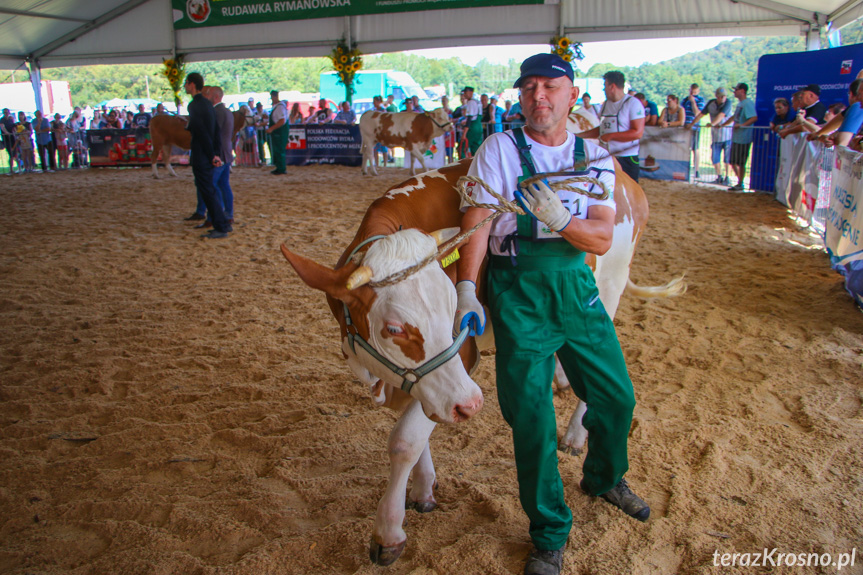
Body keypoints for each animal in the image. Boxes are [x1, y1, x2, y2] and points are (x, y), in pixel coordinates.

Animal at [280, 155, 684, 568]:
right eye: (393, 328)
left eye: (451, 307)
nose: (473, 404)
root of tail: (618, 171)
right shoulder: (420, 379)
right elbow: (422, 422)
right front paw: (424, 488)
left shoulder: (460, 359)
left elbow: (405, 441)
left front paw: (389, 531)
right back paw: (560, 381)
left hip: (610, 286)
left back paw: (574, 434)